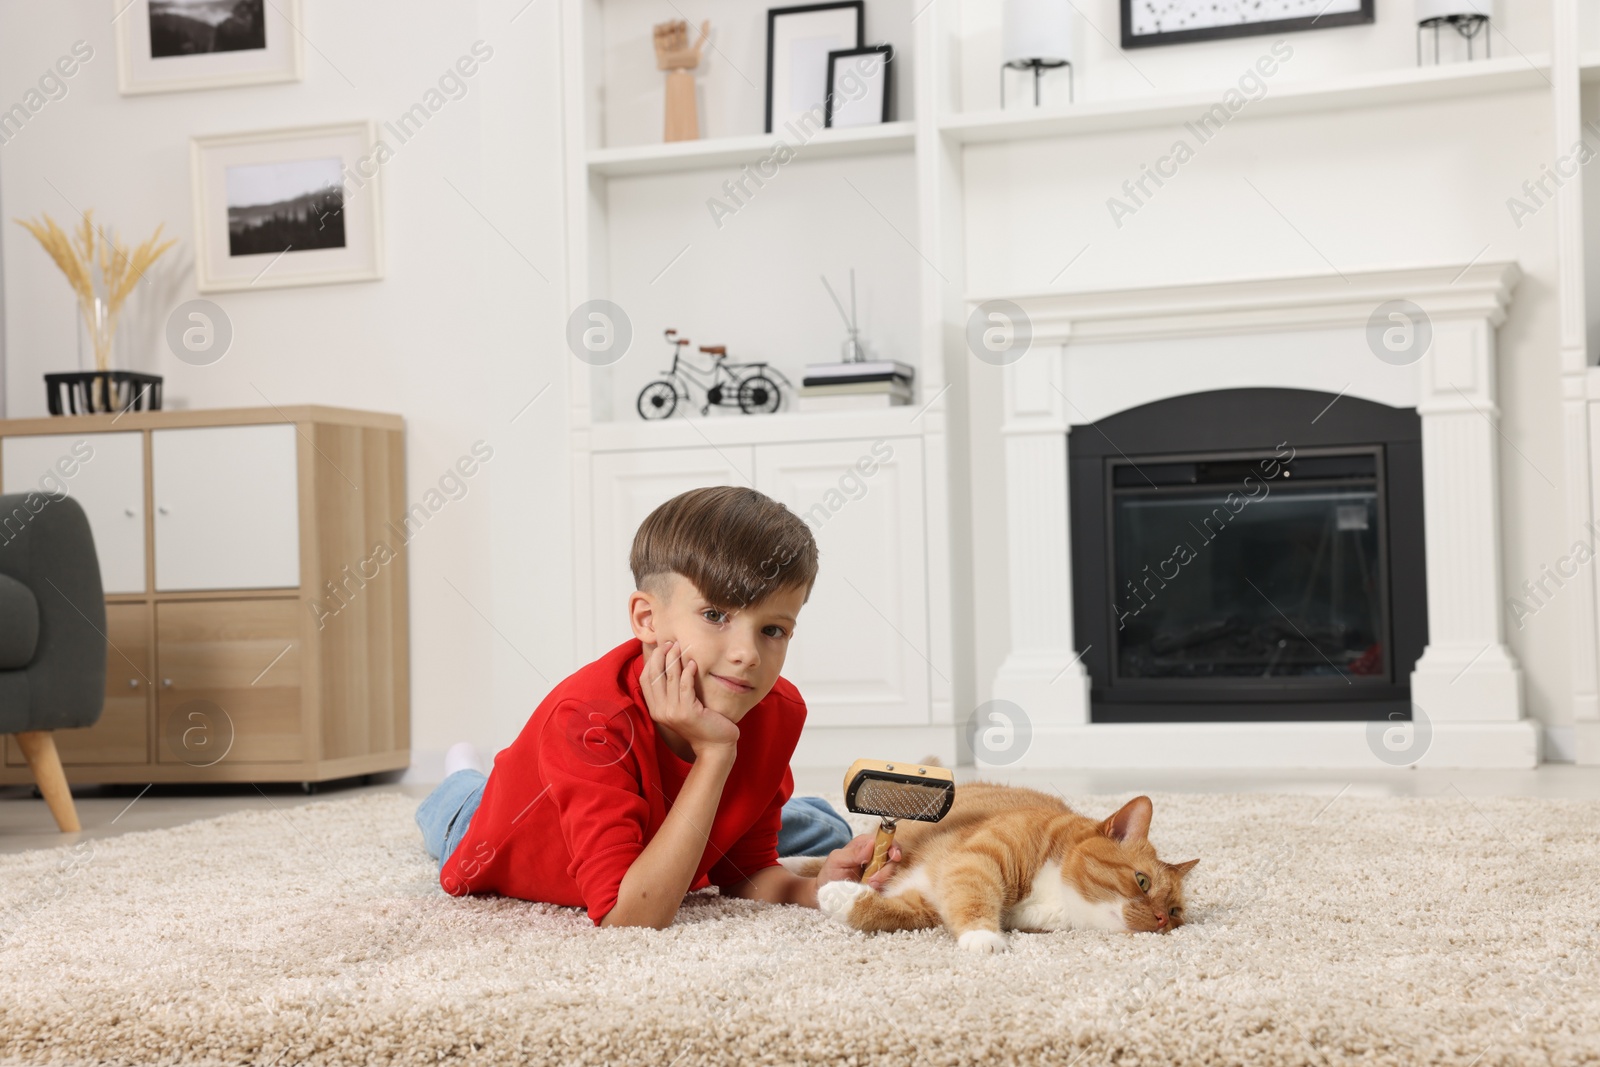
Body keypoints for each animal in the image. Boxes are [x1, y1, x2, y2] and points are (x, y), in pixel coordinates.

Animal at [812, 777, 1203, 953]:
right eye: (1142, 881)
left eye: (1175, 910)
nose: (1161, 919)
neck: (1054, 894)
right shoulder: (978, 861)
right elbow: (974, 896)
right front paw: (983, 936)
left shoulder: (927, 904)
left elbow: (894, 914)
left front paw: (841, 897)